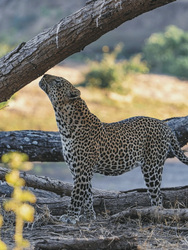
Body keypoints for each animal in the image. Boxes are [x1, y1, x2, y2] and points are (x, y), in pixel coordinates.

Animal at [39, 73, 188, 224]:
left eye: (58, 81)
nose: (44, 75)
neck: (64, 124)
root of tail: (165, 125)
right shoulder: (76, 168)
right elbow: (87, 194)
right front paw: (88, 215)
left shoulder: (82, 170)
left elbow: (76, 194)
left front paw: (70, 216)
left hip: (152, 167)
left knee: (157, 195)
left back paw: (155, 213)